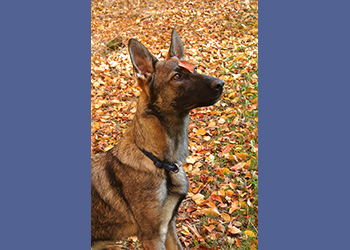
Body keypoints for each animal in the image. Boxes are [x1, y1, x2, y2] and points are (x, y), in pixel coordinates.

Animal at [91, 28, 224, 249]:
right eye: (177, 76)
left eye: (195, 68)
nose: (221, 84)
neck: (159, 161)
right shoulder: (152, 236)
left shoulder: (168, 226)